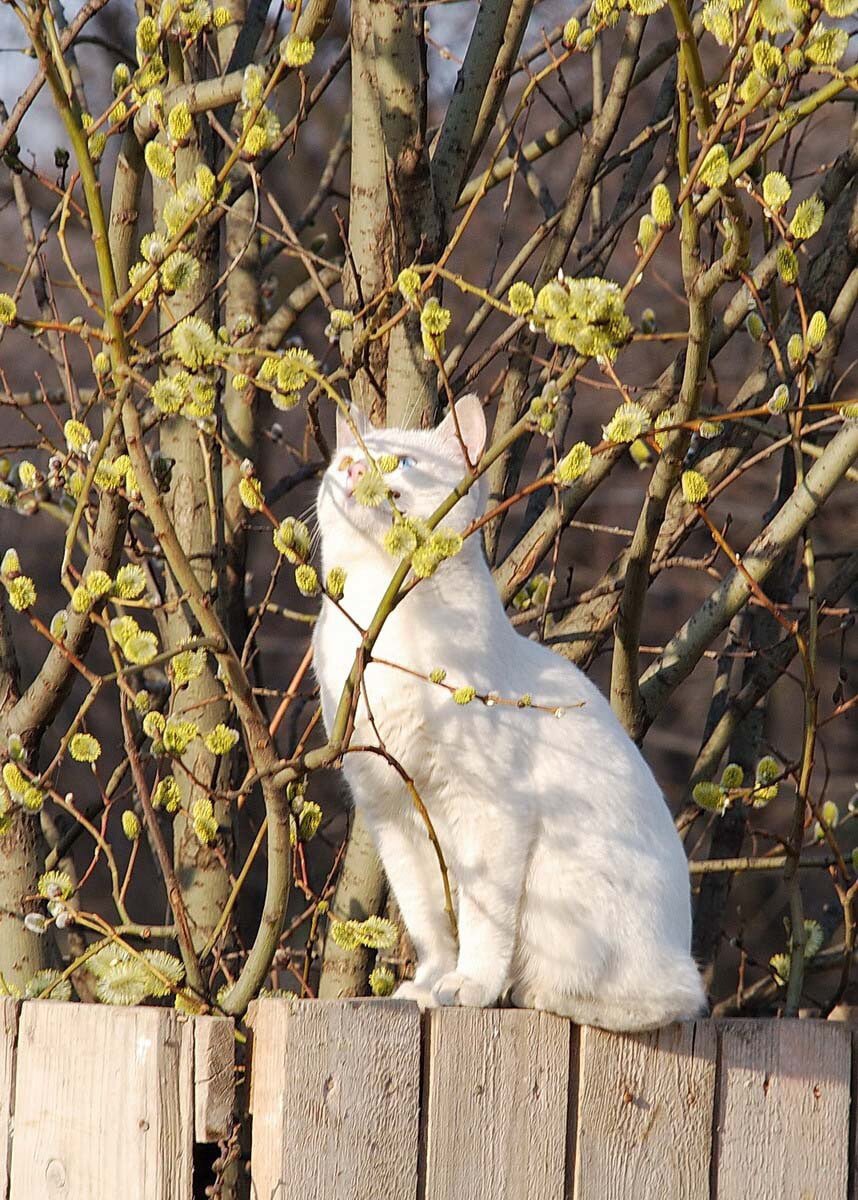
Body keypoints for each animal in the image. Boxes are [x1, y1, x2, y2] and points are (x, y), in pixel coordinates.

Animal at [312, 396, 710, 1032]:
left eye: (398, 462)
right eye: (345, 461)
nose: (352, 471)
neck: (380, 614)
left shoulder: (490, 811)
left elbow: (481, 920)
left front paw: (470, 986)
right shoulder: (391, 810)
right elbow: (428, 922)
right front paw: (428, 985)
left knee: (667, 1000)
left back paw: (533, 992)